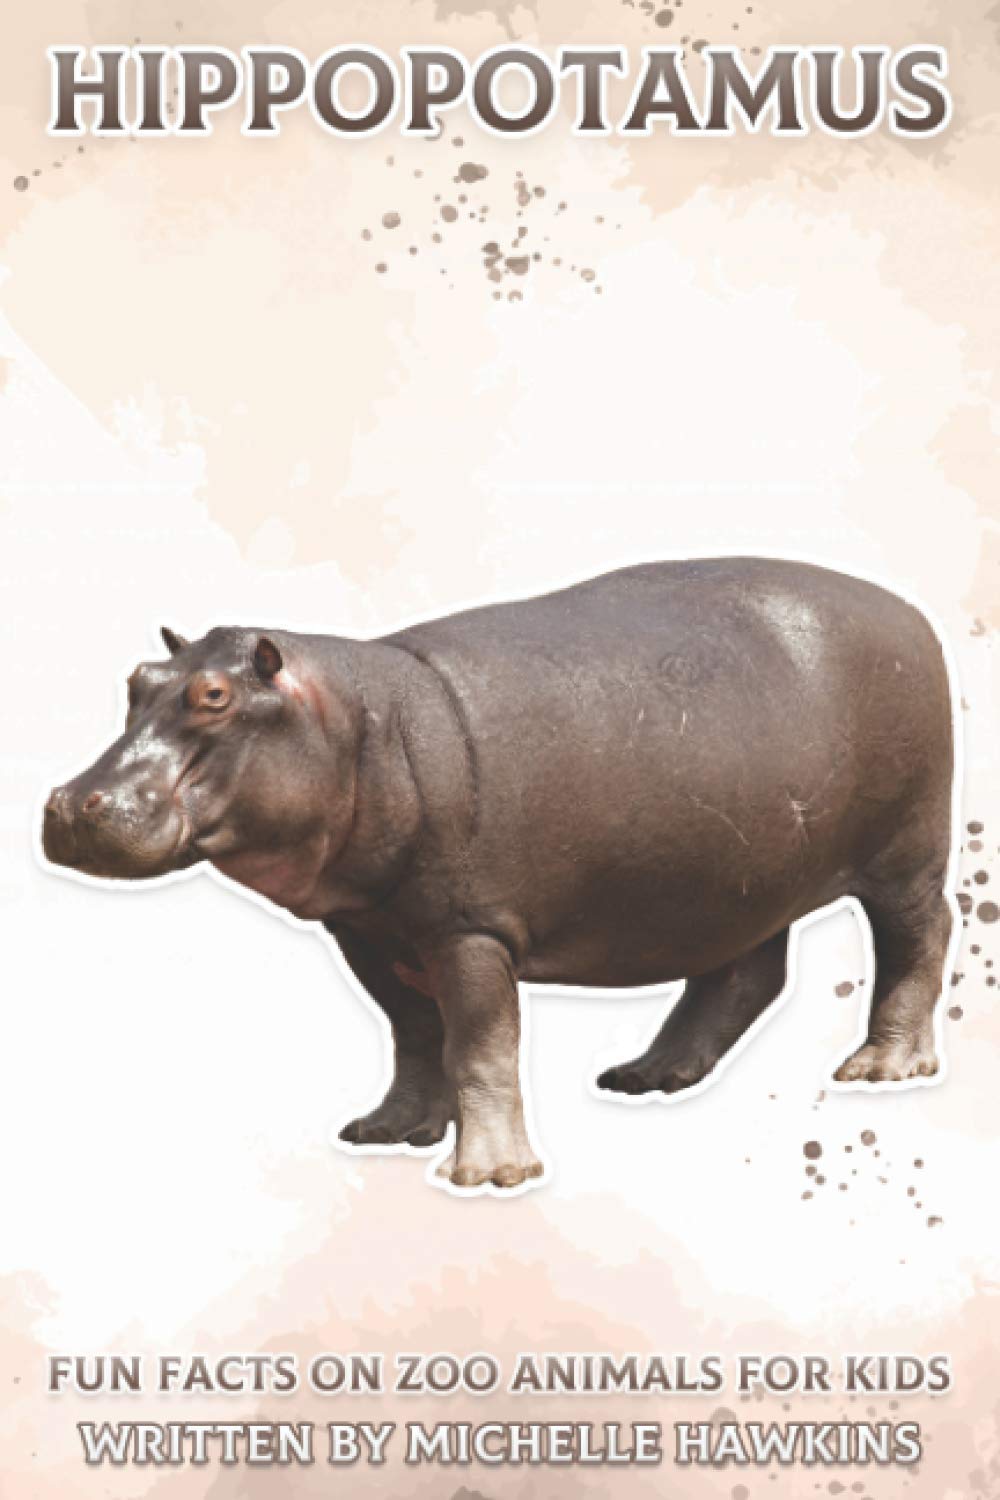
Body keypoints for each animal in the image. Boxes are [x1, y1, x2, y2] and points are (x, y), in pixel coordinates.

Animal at [42, 558, 957, 1192]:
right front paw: (386, 1131)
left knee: (920, 936)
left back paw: (882, 1068)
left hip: (903, 853)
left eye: (215, 696)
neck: (355, 721)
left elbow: (481, 1046)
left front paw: (487, 1176)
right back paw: (648, 1077)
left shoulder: (468, 927)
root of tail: (912, 610)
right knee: (745, 971)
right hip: (735, 877)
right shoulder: (367, 927)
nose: (72, 804)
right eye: (137, 681)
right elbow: (416, 1036)